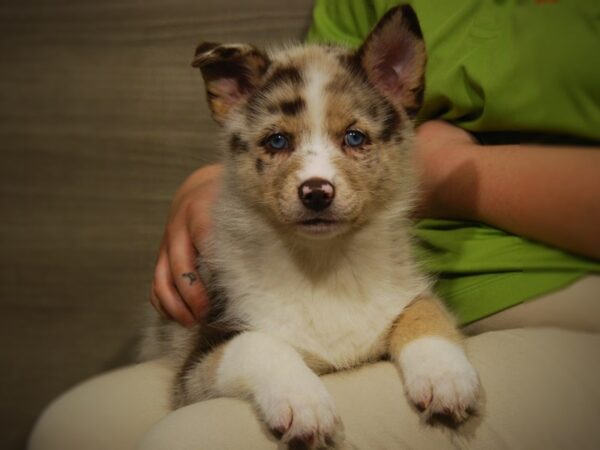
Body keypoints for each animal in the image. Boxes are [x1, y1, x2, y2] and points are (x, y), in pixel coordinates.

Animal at [141, 5, 478, 448]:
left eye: (354, 137)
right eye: (277, 141)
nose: (316, 193)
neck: (324, 263)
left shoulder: (403, 294)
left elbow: (425, 311)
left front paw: (445, 376)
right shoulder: (197, 365)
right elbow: (257, 342)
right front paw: (303, 403)